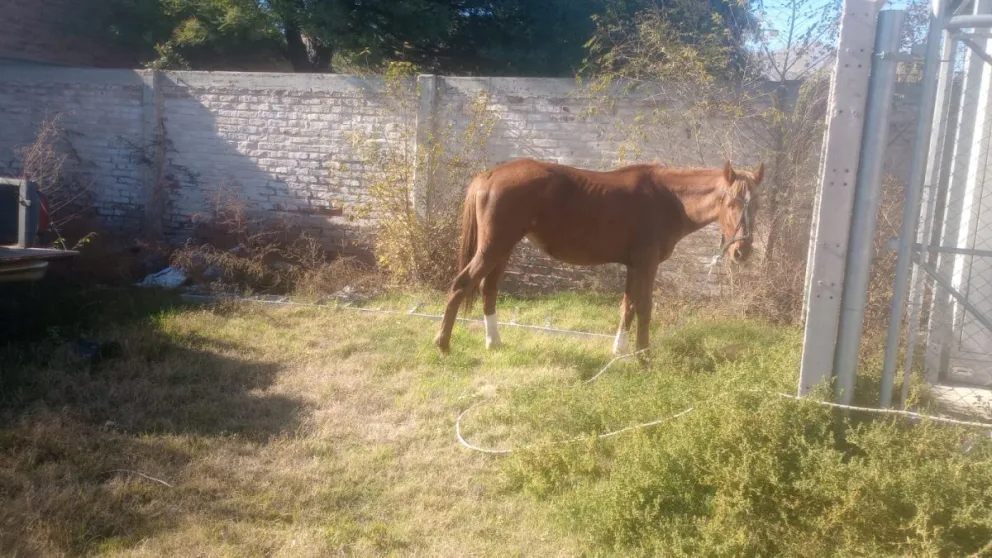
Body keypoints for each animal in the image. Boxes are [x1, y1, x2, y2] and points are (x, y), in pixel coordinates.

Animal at [432, 157, 763, 355]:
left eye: (757, 204)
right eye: (731, 202)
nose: (742, 251)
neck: (667, 198)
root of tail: (489, 175)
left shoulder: (634, 266)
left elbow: (628, 306)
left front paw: (619, 351)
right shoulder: (647, 265)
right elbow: (645, 308)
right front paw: (644, 357)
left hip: (503, 248)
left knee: (488, 289)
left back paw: (494, 342)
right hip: (494, 247)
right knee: (462, 284)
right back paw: (444, 344)